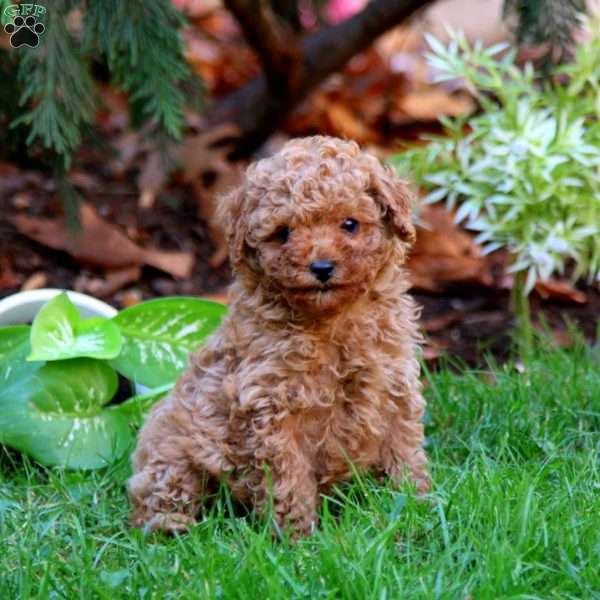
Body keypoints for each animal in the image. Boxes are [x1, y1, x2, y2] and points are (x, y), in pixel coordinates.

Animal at [129, 135, 428, 536]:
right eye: (284, 233)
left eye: (350, 224)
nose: (321, 267)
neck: (331, 321)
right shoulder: (271, 407)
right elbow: (289, 478)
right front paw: (299, 538)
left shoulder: (394, 385)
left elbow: (404, 449)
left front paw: (417, 505)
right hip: (171, 451)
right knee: (159, 495)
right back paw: (171, 527)